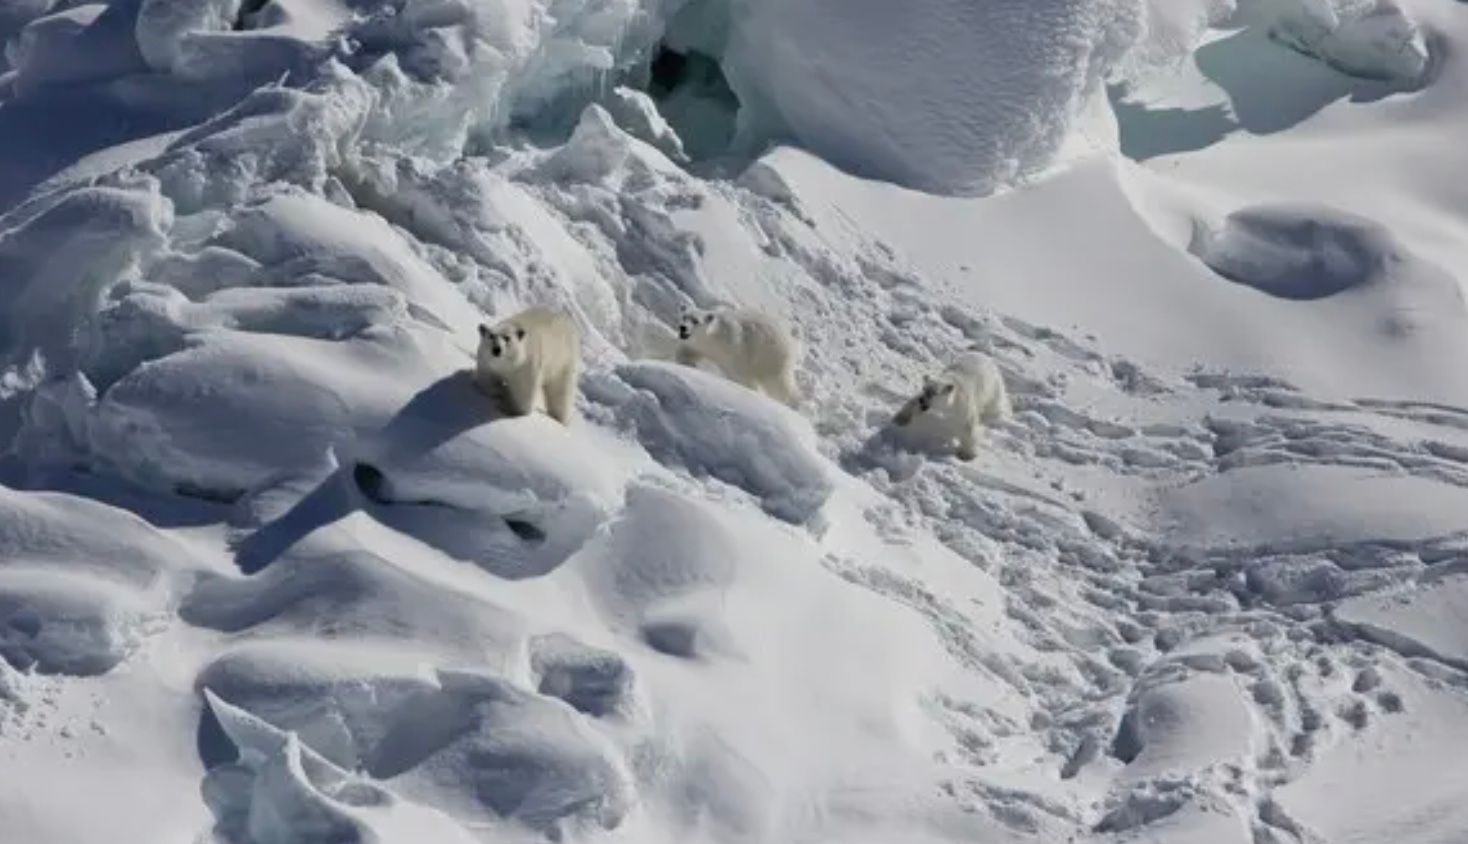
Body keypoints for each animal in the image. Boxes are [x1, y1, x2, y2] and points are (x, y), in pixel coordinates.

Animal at [675, 306, 804, 410]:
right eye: (684, 317)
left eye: (695, 321)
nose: (683, 328)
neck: (713, 339)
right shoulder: (698, 345)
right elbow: (686, 352)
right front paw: (688, 364)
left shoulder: (734, 350)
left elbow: (741, 376)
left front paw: (748, 390)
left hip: (772, 356)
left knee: (778, 383)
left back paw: (794, 404)